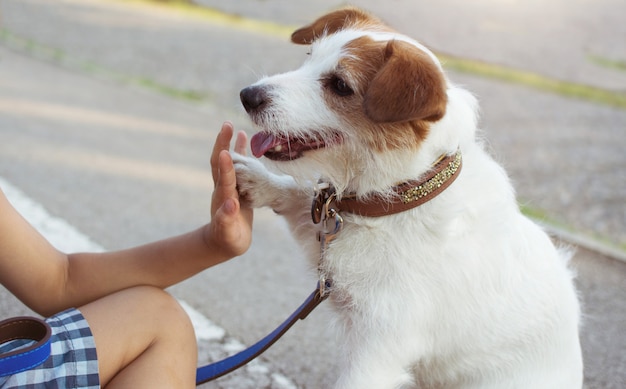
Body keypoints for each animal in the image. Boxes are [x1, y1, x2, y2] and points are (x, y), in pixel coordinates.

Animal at [232, 6, 584, 388]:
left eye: (340, 85)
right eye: (309, 57)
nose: (248, 95)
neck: (403, 196)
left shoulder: (377, 350)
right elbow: (304, 199)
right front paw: (257, 179)